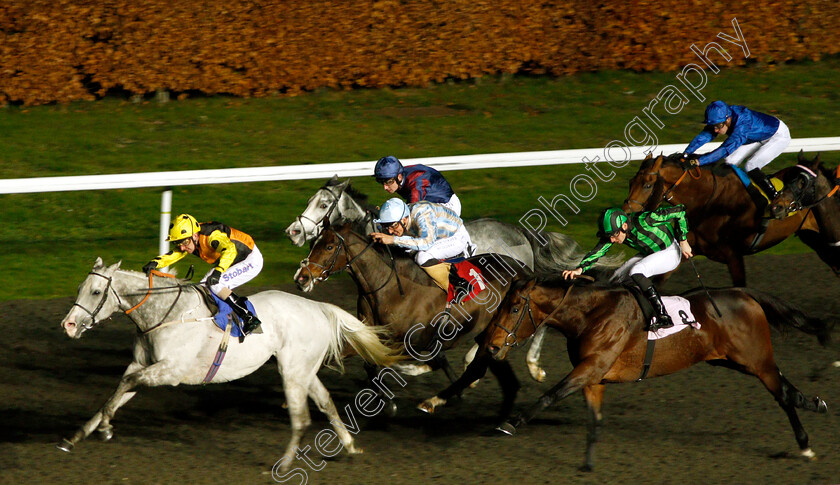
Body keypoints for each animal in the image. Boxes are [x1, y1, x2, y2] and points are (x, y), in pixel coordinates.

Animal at [60, 260, 400, 470]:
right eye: (78, 288)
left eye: (95, 291)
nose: (69, 325)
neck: (166, 314)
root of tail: (318, 307)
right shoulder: (141, 365)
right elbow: (117, 391)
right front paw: (77, 436)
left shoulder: (171, 371)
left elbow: (125, 387)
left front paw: (105, 428)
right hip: (303, 370)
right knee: (327, 403)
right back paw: (350, 446)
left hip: (292, 372)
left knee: (302, 419)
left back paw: (285, 464)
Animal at [482, 278, 832, 470]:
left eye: (514, 308)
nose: (491, 346)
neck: (591, 314)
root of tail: (743, 293)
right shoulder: (594, 376)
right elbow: (594, 420)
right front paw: (588, 463)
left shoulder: (590, 366)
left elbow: (549, 395)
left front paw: (508, 423)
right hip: (731, 360)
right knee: (786, 388)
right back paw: (813, 405)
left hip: (756, 360)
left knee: (782, 394)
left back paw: (805, 441)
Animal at [620, 153, 824, 286]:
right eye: (630, 182)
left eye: (647, 185)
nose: (625, 212)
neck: (709, 202)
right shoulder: (691, 247)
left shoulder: (734, 257)